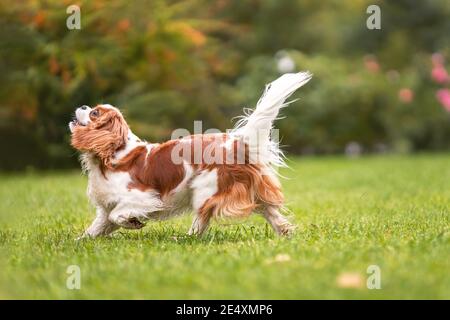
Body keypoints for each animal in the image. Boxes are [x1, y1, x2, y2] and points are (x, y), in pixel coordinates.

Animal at [70, 72, 312, 238]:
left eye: (94, 113)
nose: (81, 105)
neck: (111, 155)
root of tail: (235, 143)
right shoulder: (106, 208)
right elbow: (96, 228)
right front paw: (79, 243)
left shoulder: (142, 197)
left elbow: (117, 215)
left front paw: (132, 222)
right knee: (271, 211)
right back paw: (284, 233)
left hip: (203, 189)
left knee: (202, 220)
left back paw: (185, 238)